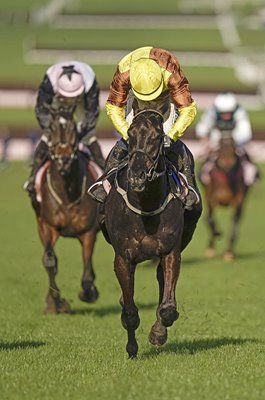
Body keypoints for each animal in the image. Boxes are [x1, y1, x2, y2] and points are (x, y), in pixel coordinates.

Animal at [28, 115, 99, 312]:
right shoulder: (48, 227)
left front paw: (88, 293)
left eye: (74, 132)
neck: (67, 193)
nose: (63, 161)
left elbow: (87, 268)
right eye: (51, 131)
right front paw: (55, 302)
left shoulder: (88, 232)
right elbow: (50, 261)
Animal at [102, 108, 199, 356]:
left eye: (157, 137)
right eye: (130, 134)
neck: (146, 206)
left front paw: (157, 333)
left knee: (161, 280)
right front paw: (131, 348)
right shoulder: (124, 257)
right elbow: (129, 312)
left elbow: (168, 309)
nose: (137, 175)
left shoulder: (170, 251)